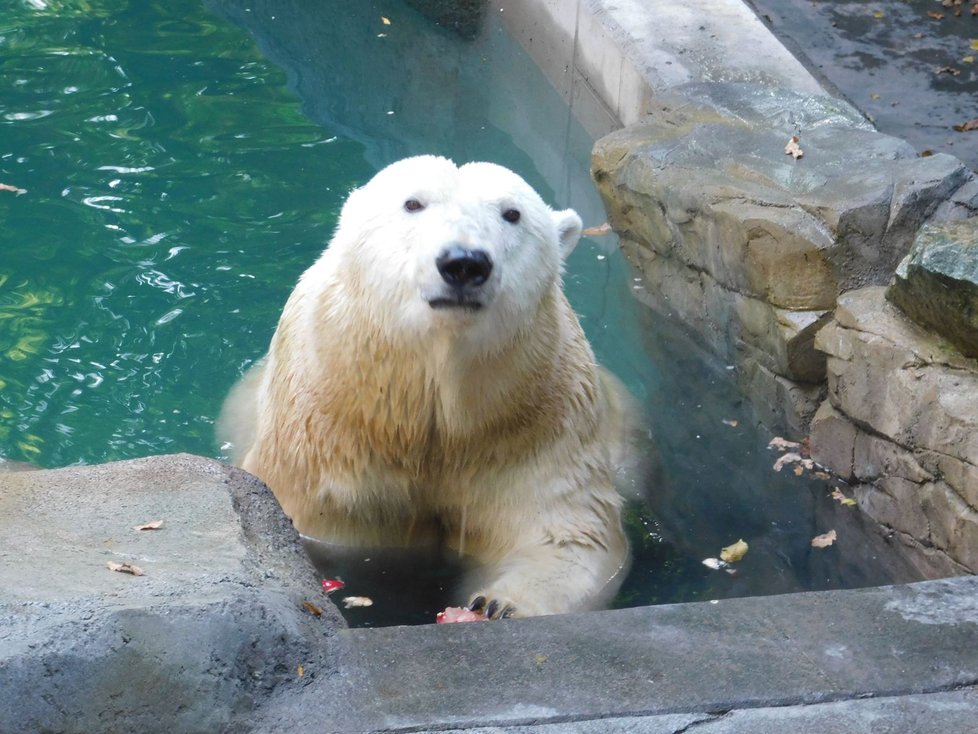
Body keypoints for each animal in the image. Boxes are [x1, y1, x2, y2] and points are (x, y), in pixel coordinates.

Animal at [219, 157, 632, 620]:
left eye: (512, 214)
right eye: (413, 203)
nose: (464, 263)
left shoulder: (537, 426)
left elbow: (566, 535)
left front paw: (495, 606)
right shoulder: (329, 442)